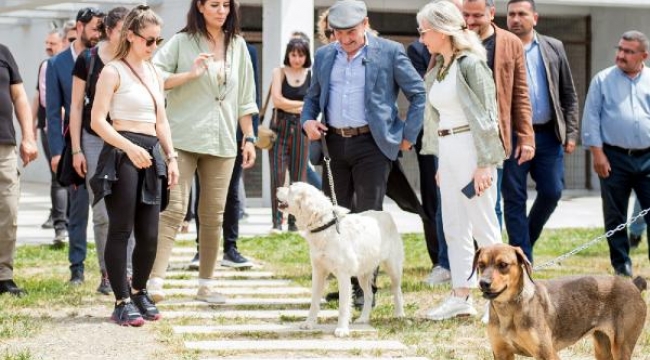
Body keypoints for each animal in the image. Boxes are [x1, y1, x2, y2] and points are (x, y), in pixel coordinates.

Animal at [272, 183, 400, 338]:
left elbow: (343, 306)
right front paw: (309, 323)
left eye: (290, 188)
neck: (325, 225)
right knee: (369, 295)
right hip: (363, 274)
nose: (276, 189)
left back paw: (399, 314)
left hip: (393, 268)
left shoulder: (343, 275)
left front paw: (342, 329)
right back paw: (363, 318)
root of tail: (386, 214)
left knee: (397, 290)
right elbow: (314, 301)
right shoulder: (318, 272)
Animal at [470, 243, 648, 358]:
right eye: (481, 264)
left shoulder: (546, 354)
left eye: (503, 264)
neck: (508, 310)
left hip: (621, 347)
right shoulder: (501, 352)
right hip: (602, 346)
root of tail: (633, 284)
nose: (483, 283)